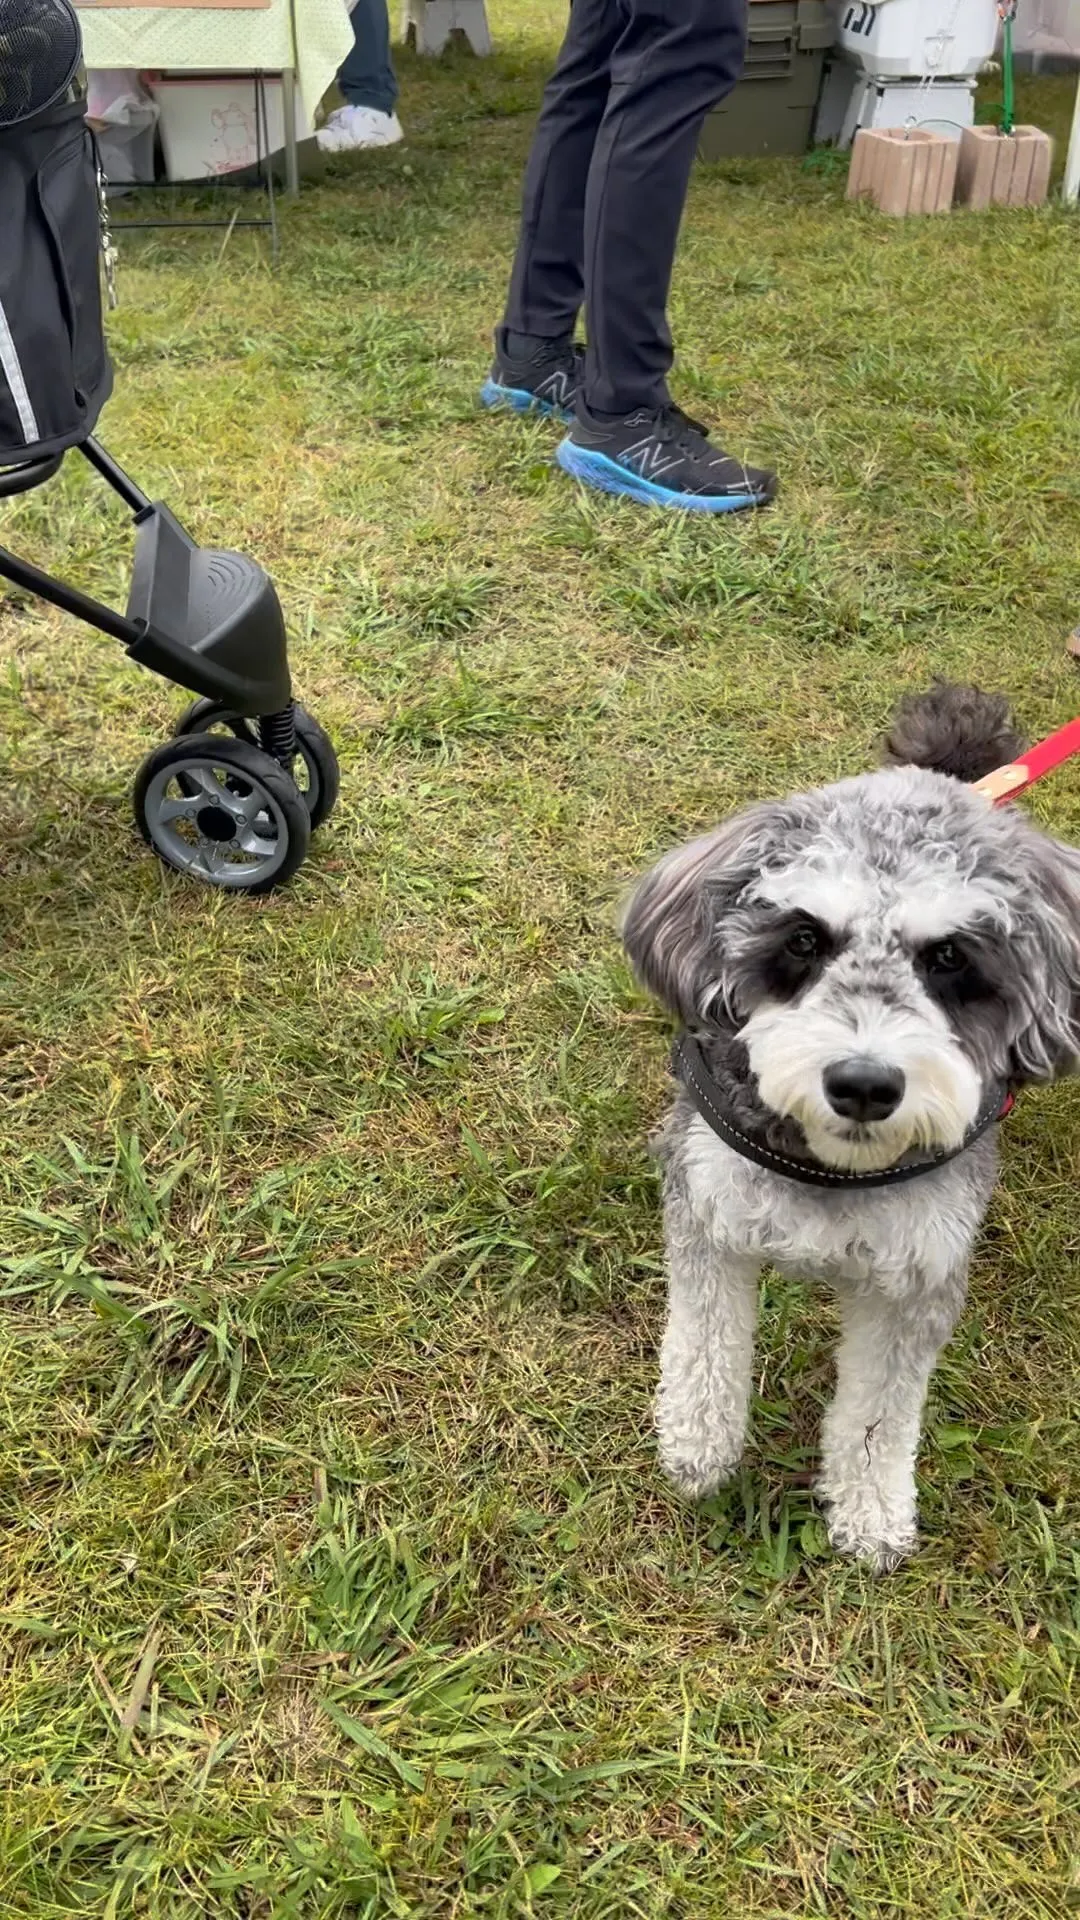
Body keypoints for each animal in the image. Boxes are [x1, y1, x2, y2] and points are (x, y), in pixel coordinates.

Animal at [618, 683, 1076, 1566]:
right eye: (804, 938)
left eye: (950, 958)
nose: (863, 1085)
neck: (831, 1169)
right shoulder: (710, 1213)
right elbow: (706, 1342)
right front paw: (698, 1446)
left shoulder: (917, 1277)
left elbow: (878, 1414)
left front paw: (870, 1513)